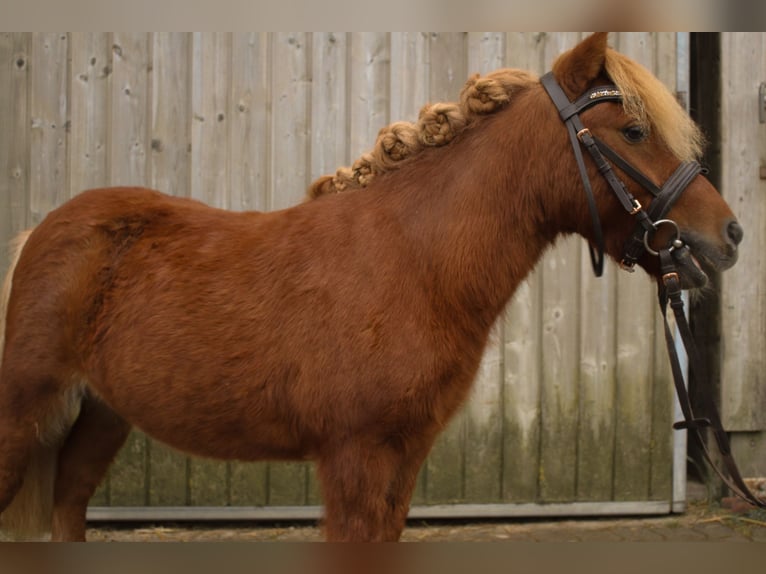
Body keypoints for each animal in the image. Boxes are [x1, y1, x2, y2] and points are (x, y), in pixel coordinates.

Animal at [0, 33, 744, 544]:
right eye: (634, 130)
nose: (729, 235)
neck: (412, 263)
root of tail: (42, 233)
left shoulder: (401, 458)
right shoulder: (354, 458)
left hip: (100, 414)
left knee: (68, 504)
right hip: (24, 415)